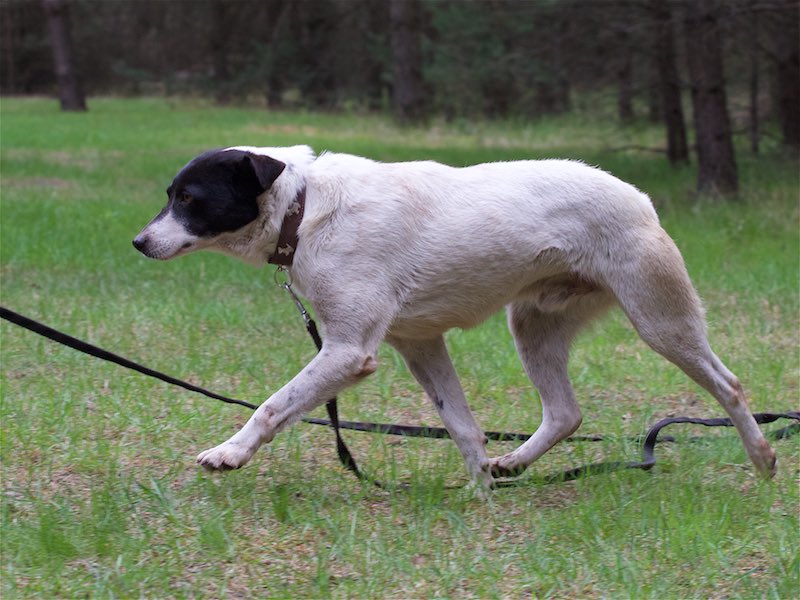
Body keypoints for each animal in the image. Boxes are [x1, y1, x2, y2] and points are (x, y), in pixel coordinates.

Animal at [133, 145, 777, 491]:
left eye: (188, 198)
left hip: (660, 322)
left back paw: (763, 459)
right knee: (565, 413)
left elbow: (272, 407)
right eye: (170, 194)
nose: (139, 243)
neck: (306, 207)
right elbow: (463, 426)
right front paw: (480, 493)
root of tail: (640, 198)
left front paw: (229, 452)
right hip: (533, 325)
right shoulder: (419, 343)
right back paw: (513, 464)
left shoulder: (347, 351)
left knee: (729, 386)